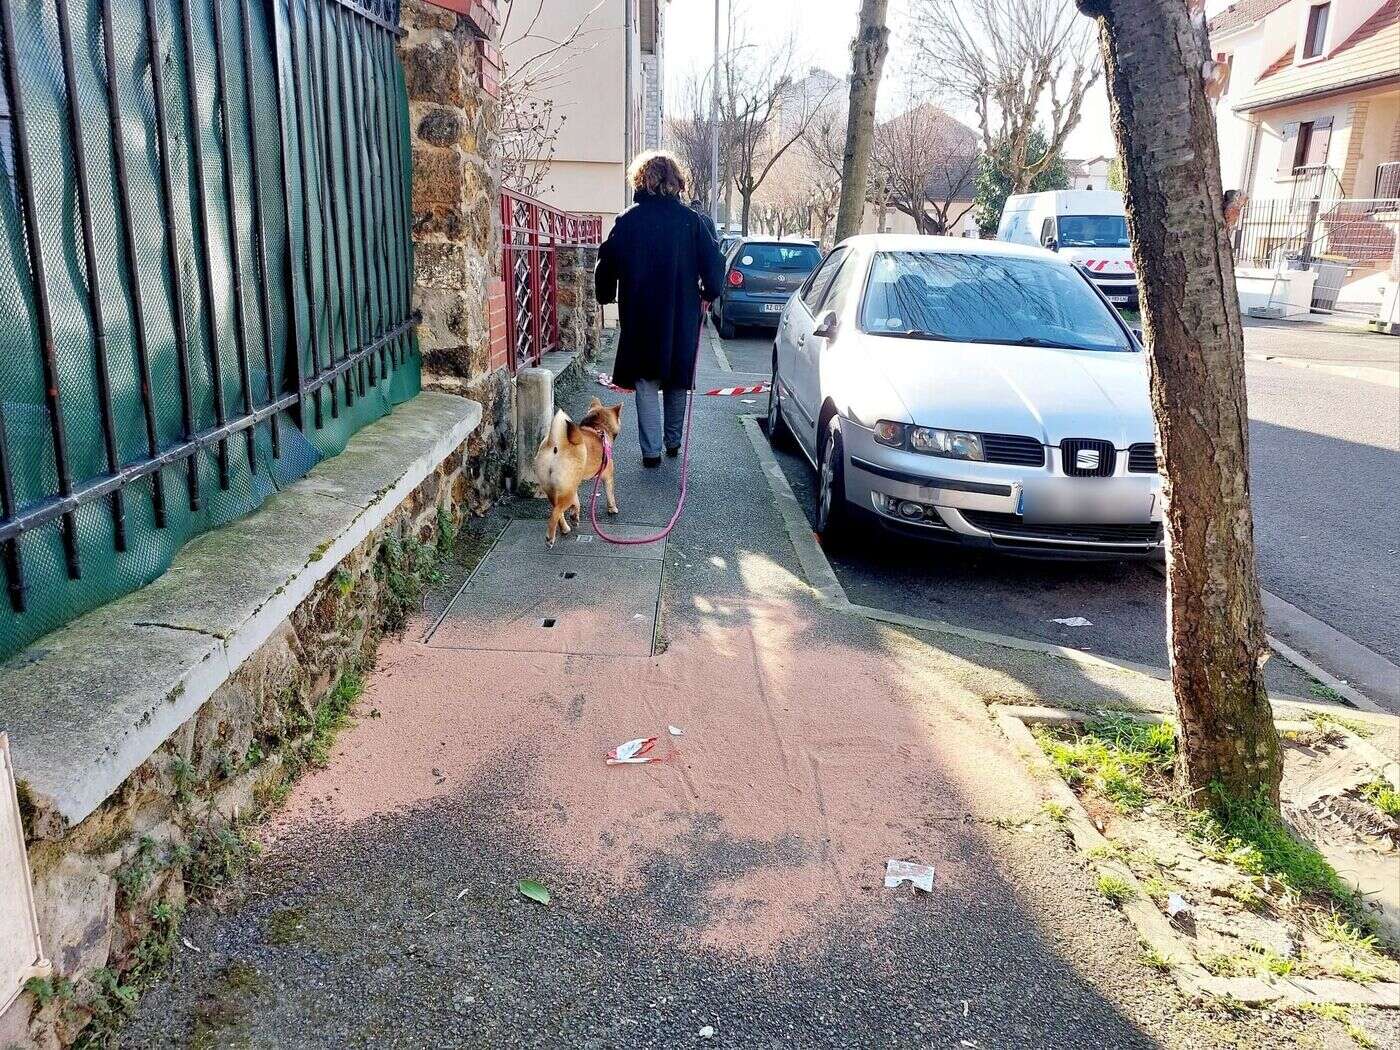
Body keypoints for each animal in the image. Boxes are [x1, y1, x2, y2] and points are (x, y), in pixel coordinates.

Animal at [534, 397, 624, 546]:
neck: (597, 428)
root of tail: (556, 445)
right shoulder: (607, 475)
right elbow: (610, 493)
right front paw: (612, 509)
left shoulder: (574, 483)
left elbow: (576, 501)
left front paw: (574, 514)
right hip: (565, 491)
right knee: (556, 512)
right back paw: (550, 538)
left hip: (556, 488)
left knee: (558, 510)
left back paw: (565, 528)